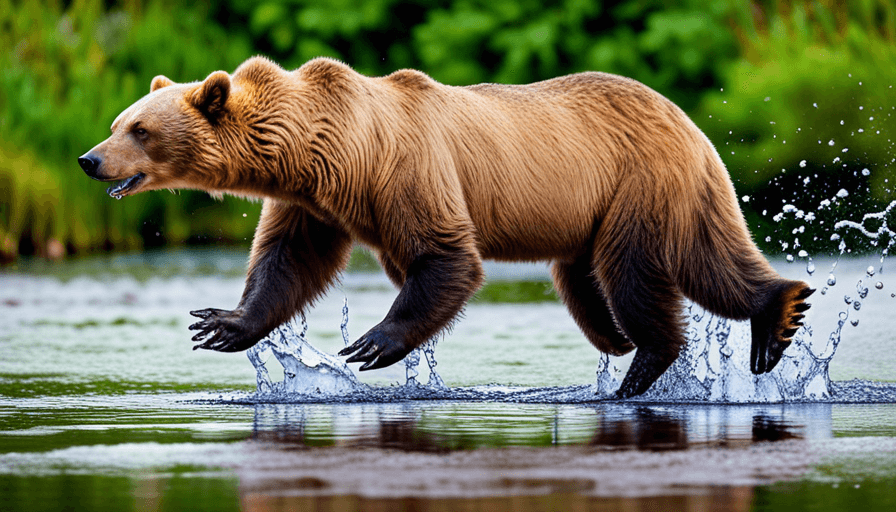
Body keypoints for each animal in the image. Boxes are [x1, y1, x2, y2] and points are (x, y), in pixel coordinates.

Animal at [80, 58, 816, 398]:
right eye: (118, 121)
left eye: (139, 129)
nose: (90, 158)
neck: (331, 150)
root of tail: (686, 118)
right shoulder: (314, 203)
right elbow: (288, 262)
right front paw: (223, 324)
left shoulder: (405, 170)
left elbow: (445, 258)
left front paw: (372, 343)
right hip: (632, 201)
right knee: (678, 263)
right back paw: (769, 311)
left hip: (640, 185)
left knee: (648, 271)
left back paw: (648, 361)